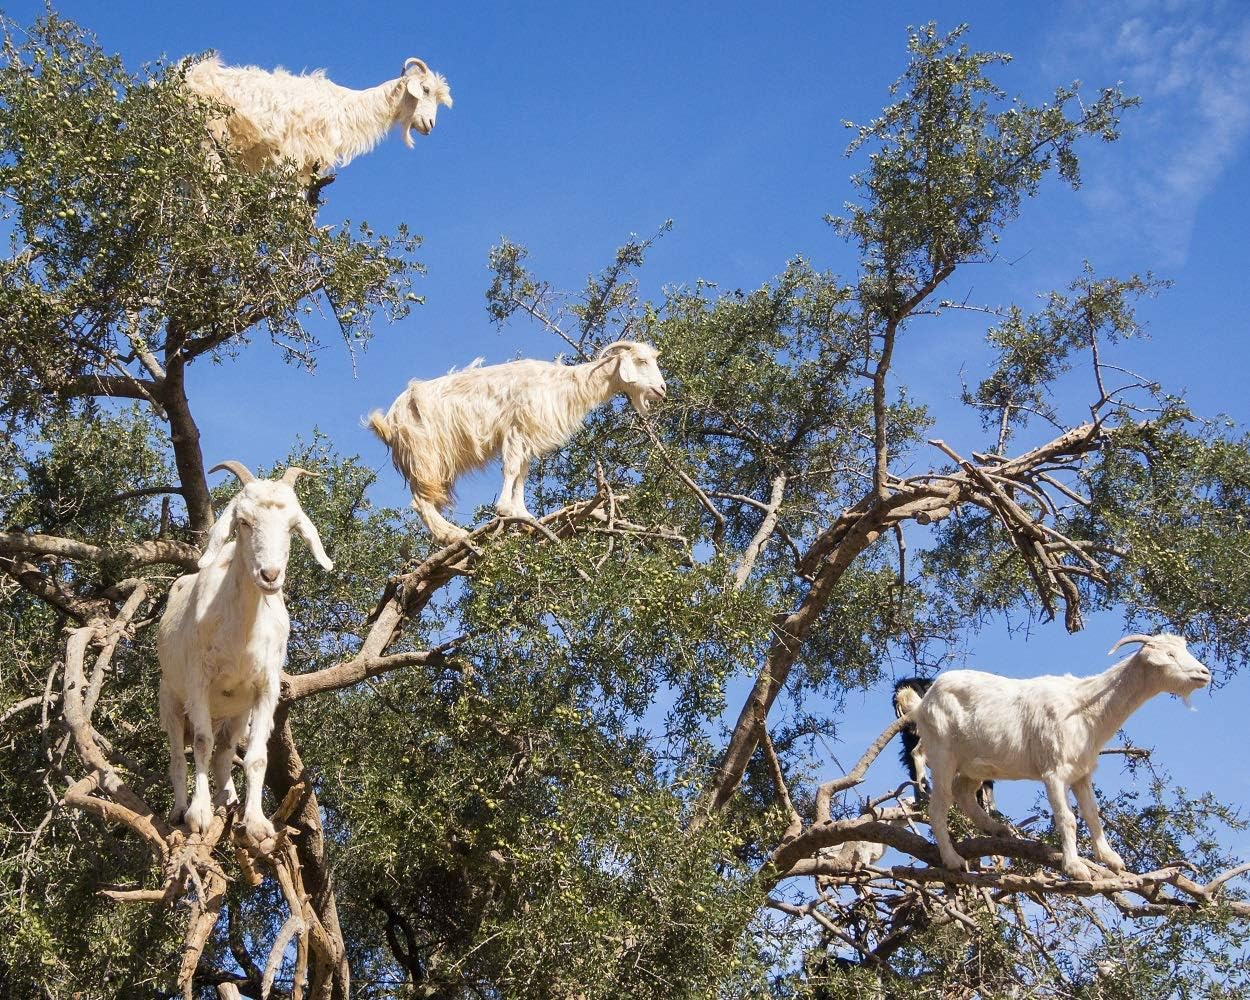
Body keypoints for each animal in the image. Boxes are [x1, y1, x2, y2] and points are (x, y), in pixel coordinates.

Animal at [157, 462, 333, 842]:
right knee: (178, 754)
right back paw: (181, 809)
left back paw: (229, 800)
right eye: (244, 522)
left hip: (236, 713)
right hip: (171, 700)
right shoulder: (198, 682)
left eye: (293, 527)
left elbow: (256, 757)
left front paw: (256, 822)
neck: (242, 634)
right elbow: (201, 743)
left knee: (224, 754)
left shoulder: (266, 688)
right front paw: (199, 815)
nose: (270, 575)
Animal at [183, 55, 452, 183]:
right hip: (208, 144)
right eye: (425, 89)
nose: (430, 125)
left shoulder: (307, 165)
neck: (342, 107)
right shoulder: (293, 155)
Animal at [367, 341, 667, 544]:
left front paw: (524, 516)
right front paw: (503, 509)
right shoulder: (516, 429)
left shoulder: (527, 437)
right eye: (640, 360)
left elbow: (523, 474)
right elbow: (511, 469)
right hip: (425, 454)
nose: (662, 390)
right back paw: (453, 535)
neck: (561, 386)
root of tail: (389, 421)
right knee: (420, 501)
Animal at [908, 633, 1210, 878]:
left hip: (976, 764)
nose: (1204, 673)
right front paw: (1075, 867)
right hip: (942, 752)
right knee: (939, 804)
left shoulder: (1081, 773)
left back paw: (997, 829)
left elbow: (1092, 814)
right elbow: (1068, 819)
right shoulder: (1054, 773)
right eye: (1169, 655)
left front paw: (1111, 858)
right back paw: (953, 859)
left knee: (963, 792)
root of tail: (924, 702)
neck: (1086, 708)